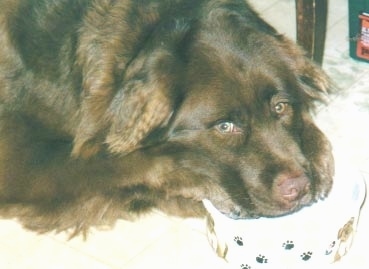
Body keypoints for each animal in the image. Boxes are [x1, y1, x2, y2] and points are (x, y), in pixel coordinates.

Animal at [0, 0, 334, 234]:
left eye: (280, 107)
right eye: (225, 126)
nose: (297, 187)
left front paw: (318, 157)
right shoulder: (22, 162)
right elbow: (136, 162)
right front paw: (197, 177)